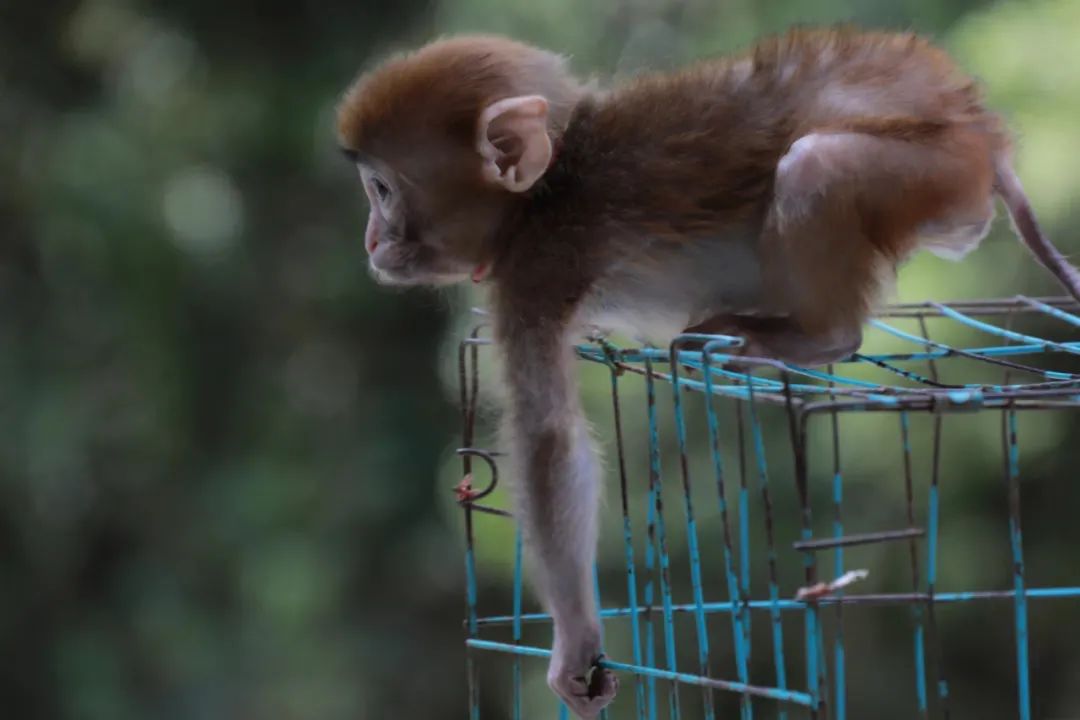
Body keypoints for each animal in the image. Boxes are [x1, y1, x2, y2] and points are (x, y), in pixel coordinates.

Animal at [334, 28, 1080, 716]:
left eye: (382, 190)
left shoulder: (533, 271)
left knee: (818, 164)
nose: (370, 240)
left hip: (927, 170)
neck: (546, 190)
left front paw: (574, 640)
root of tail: (980, 130)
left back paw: (816, 334)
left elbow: (550, 440)